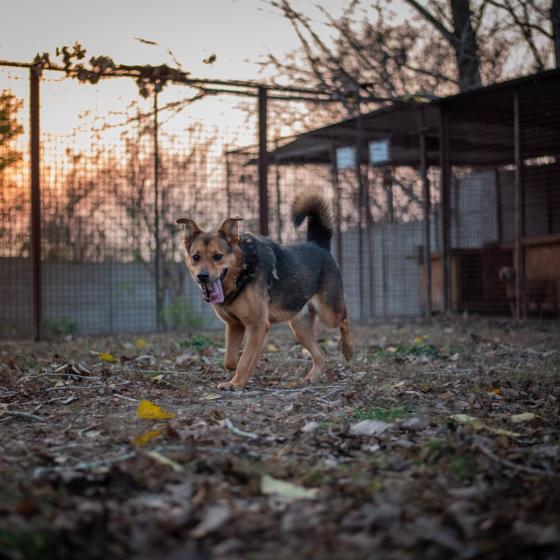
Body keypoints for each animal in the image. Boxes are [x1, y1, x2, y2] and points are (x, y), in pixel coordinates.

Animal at [177, 193, 353, 390]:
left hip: (328, 314)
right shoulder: (234, 325)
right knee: (320, 354)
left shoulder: (257, 325)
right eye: (196, 257)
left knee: (345, 320)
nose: (202, 276)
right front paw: (243, 367)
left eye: (217, 256)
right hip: (299, 327)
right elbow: (230, 359)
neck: (241, 270)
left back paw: (348, 349)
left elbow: (244, 360)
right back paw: (313, 376)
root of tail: (318, 245)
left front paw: (236, 382)